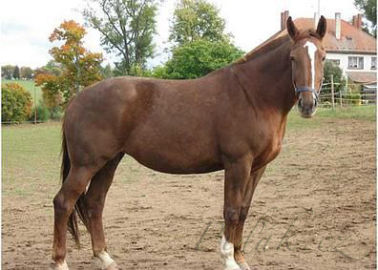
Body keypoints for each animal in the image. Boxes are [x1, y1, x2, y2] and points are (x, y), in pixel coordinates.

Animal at [51, 17, 326, 270]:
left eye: (322, 57)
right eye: (292, 58)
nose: (308, 104)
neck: (253, 96)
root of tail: (76, 99)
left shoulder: (257, 167)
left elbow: (244, 210)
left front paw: (240, 258)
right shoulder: (238, 164)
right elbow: (231, 210)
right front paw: (229, 260)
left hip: (108, 162)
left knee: (94, 203)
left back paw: (105, 258)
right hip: (86, 165)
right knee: (63, 203)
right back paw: (60, 262)